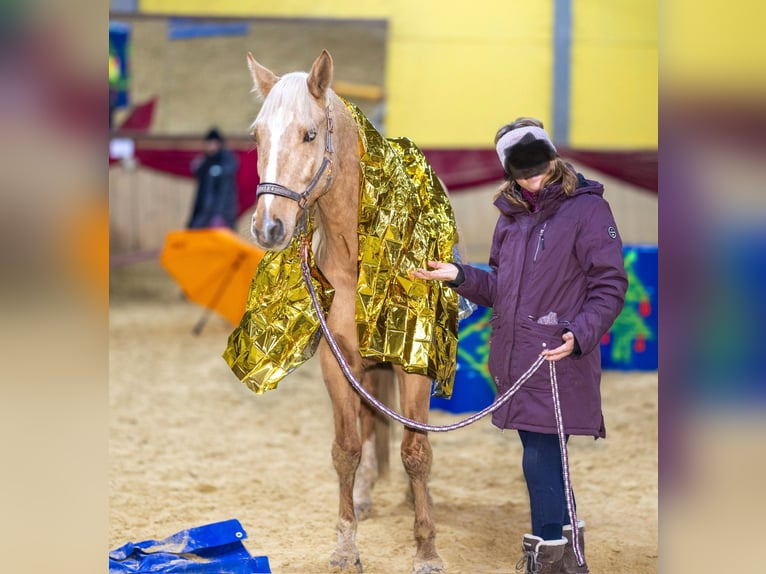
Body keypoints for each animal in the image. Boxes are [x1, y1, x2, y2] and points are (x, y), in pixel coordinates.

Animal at [244, 49, 450, 574]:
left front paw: (427, 549)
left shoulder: (412, 363)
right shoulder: (338, 364)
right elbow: (346, 449)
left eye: (309, 134)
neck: (358, 251)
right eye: (257, 135)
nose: (269, 226)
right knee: (370, 424)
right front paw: (345, 544)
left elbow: (417, 451)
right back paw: (366, 494)